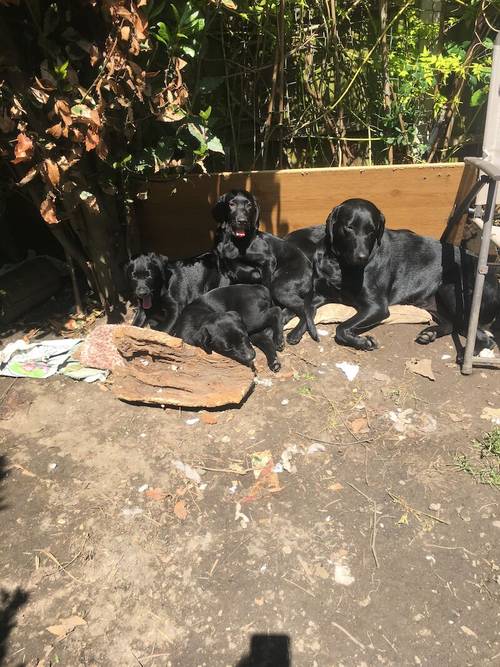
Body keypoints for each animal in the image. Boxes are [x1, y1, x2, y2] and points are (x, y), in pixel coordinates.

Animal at [213, 188, 318, 344]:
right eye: (231, 204)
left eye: (249, 205)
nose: (242, 221)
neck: (235, 242)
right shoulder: (224, 271)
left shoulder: (267, 262)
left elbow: (266, 289)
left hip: (279, 286)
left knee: (307, 308)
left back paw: (295, 333)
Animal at [286, 198, 500, 354]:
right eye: (349, 227)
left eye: (372, 230)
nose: (362, 257)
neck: (342, 266)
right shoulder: (320, 294)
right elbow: (307, 309)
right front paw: (296, 331)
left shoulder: (377, 307)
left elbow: (341, 328)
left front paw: (363, 342)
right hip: (435, 301)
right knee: (452, 325)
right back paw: (429, 334)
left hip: (452, 291)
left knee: (482, 336)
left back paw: (465, 353)